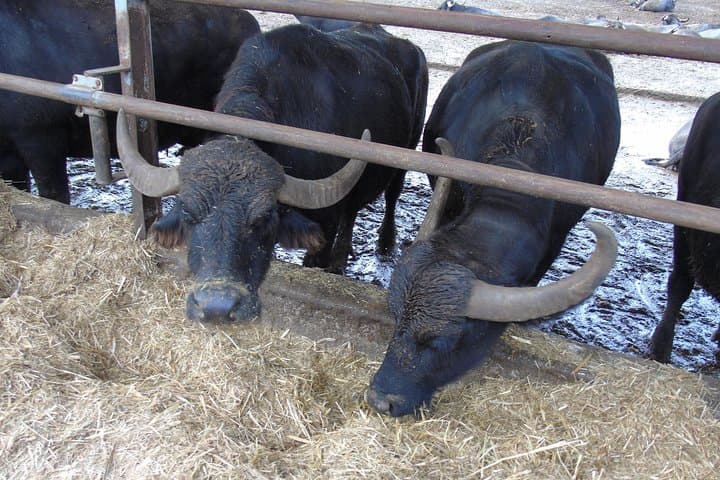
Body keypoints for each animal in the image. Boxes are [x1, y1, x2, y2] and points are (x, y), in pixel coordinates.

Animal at [118, 23, 428, 323]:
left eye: (262, 219)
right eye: (188, 215)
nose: (216, 307)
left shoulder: (324, 223)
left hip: (408, 150)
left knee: (391, 195)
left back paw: (384, 244)